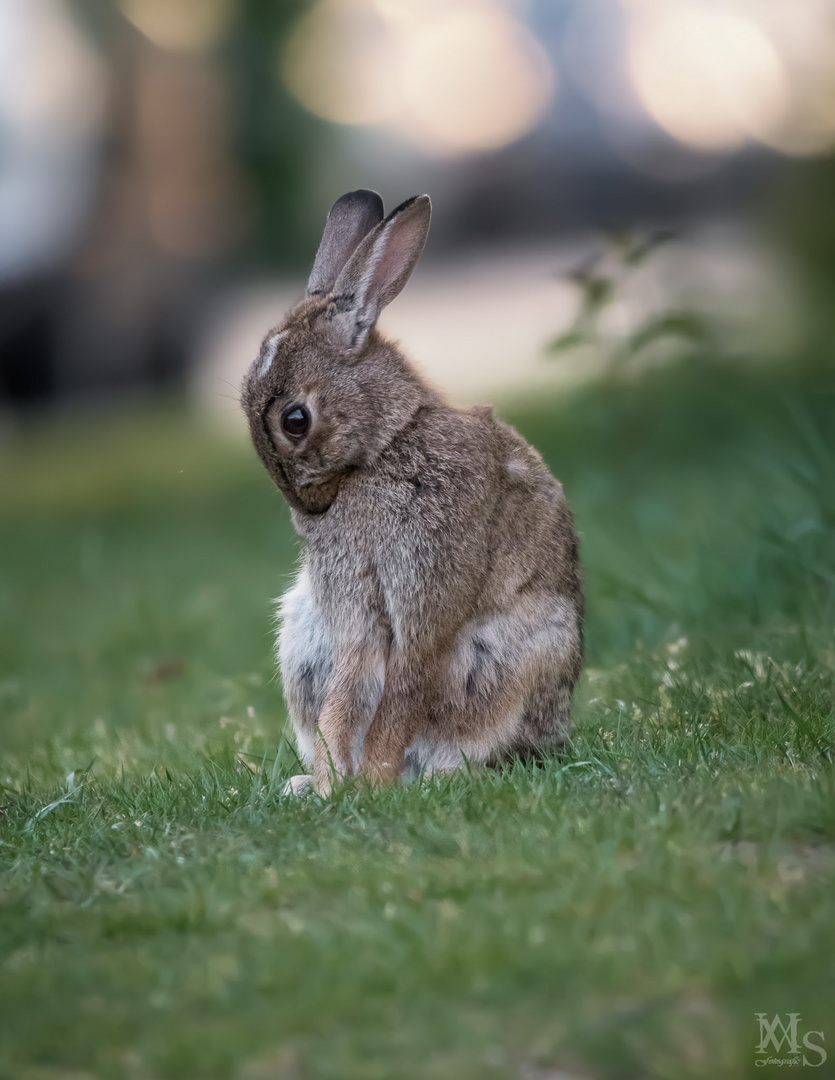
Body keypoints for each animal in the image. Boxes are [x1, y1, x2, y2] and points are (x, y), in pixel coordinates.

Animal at [239, 187, 578, 794]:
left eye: (294, 420)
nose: (307, 508)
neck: (386, 445)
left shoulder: (427, 581)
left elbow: (405, 681)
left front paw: (370, 781)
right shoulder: (352, 602)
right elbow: (348, 690)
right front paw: (332, 784)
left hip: (513, 663)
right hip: (304, 637)